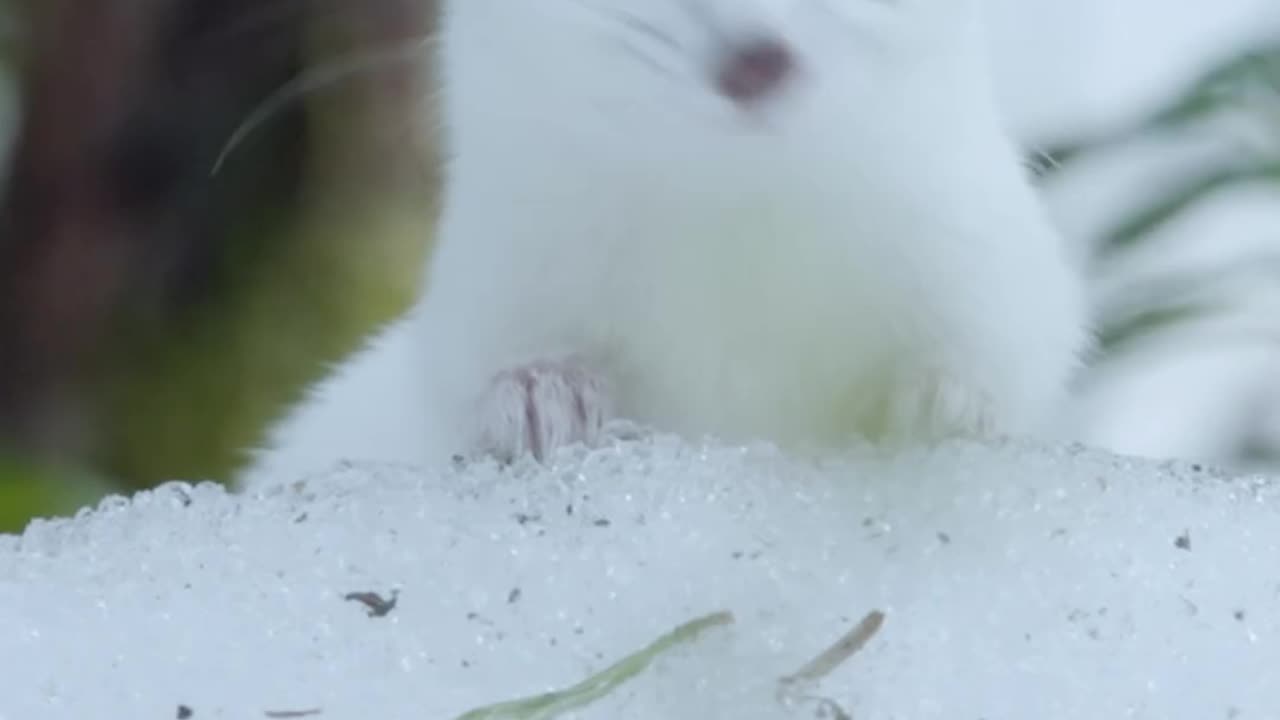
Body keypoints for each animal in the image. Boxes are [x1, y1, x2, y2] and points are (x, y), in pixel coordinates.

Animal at [235, 0, 1085, 486]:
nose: (756, 57)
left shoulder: (993, 265)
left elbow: (1018, 351)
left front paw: (937, 402)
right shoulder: (486, 296)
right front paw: (541, 397)